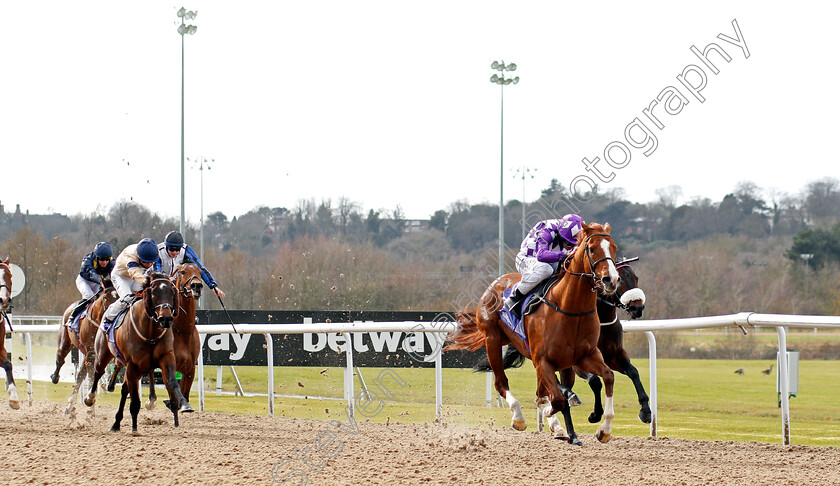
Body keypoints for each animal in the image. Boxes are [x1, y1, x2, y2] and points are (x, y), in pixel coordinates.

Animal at [52, 280, 118, 412]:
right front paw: (90, 402)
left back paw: (70, 405)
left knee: (80, 375)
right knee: (60, 357)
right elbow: (92, 377)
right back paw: (55, 377)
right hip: (66, 341)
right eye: (105, 298)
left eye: (118, 296)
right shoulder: (91, 354)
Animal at [84, 272, 195, 430]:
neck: (150, 333)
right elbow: (135, 400)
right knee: (98, 372)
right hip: (103, 354)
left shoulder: (166, 357)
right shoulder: (132, 364)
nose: (166, 318)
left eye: (172, 292)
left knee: (125, 388)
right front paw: (135, 429)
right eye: (154, 292)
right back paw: (90, 398)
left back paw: (116, 423)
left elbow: (173, 382)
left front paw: (182, 402)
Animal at [446, 222, 616, 446]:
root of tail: (496, 282)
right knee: (502, 383)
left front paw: (602, 428)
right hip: (493, 340)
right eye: (592, 248)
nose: (611, 279)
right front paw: (560, 422)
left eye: (614, 248)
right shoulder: (543, 360)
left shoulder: (584, 356)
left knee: (544, 392)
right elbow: (557, 400)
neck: (570, 308)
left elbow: (607, 377)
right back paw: (519, 417)